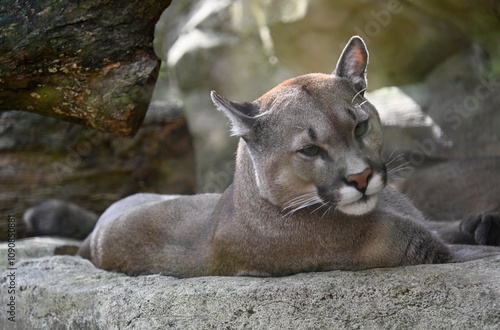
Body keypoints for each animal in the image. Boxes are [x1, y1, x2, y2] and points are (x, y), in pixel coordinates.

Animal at [23, 36, 500, 278]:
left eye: (360, 126)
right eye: (309, 149)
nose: (361, 179)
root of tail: (93, 238)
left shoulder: (426, 220)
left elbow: (451, 222)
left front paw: (484, 221)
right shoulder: (429, 250)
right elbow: (472, 252)